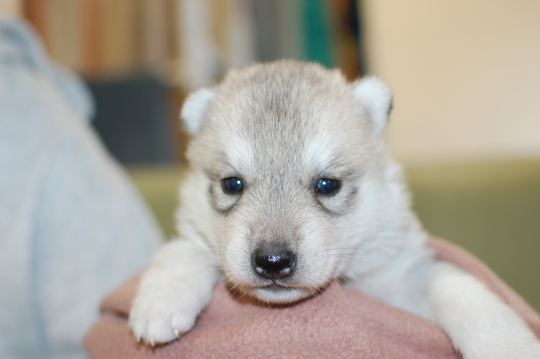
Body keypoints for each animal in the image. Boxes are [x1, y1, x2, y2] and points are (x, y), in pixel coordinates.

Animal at [130, 60, 540, 358]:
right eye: (232, 184)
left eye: (328, 185)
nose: (273, 261)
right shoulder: (194, 231)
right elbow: (184, 248)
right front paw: (161, 299)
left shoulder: (403, 276)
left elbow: (460, 290)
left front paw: (510, 346)